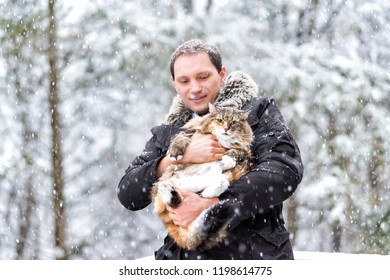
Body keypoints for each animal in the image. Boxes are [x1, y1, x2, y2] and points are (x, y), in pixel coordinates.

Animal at [149, 103, 253, 249]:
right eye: (220, 120)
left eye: (233, 123)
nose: (226, 129)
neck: (221, 140)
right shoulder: (191, 131)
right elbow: (179, 138)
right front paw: (175, 153)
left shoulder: (246, 151)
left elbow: (236, 151)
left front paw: (227, 159)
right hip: (171, 181)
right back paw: (168, 189)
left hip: (227, 176)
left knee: (213, 187)